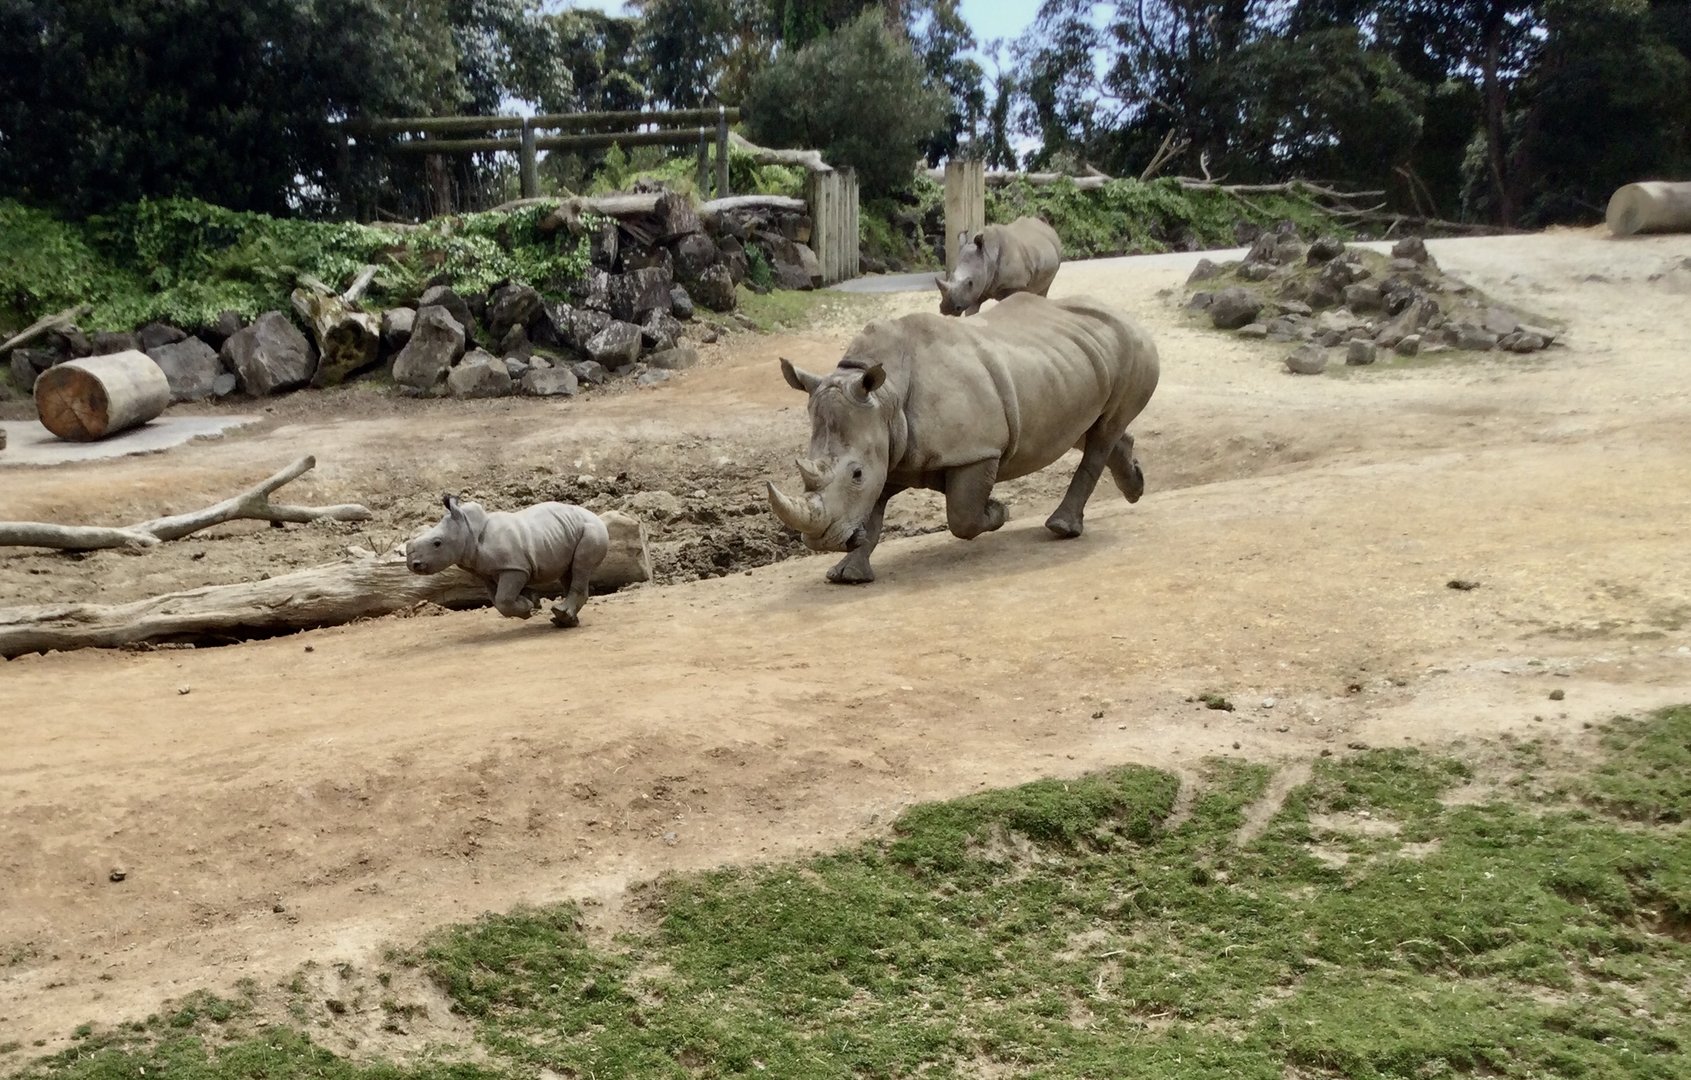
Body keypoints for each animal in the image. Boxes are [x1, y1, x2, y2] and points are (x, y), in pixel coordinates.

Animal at [405, 494, 609, 627]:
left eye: (437, 543)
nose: (412, 564)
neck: (469, 530)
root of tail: (596, 516)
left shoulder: (514, 568)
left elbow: (503, 599)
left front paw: (527, 608)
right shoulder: (485, 571)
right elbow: (497, 600)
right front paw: (532, 601)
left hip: (592, 530)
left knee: (580, 567)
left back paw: (562, 616)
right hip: (567, 530)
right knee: (569, 571)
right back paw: (565, 621)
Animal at [767, 292, 1159, 584]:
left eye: (856, 474)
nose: (821, 540)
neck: (887, 397)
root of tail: (1125, 315)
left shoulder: (977, 450)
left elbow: (962, 517)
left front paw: (998, 511)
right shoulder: (887, 448)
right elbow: (872, 513)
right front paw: (847, 574)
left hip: (1134, 348)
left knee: (1103, 432)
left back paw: (1061, 528)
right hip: (1072, 359)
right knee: (1089, 428)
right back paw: (1135, 486)